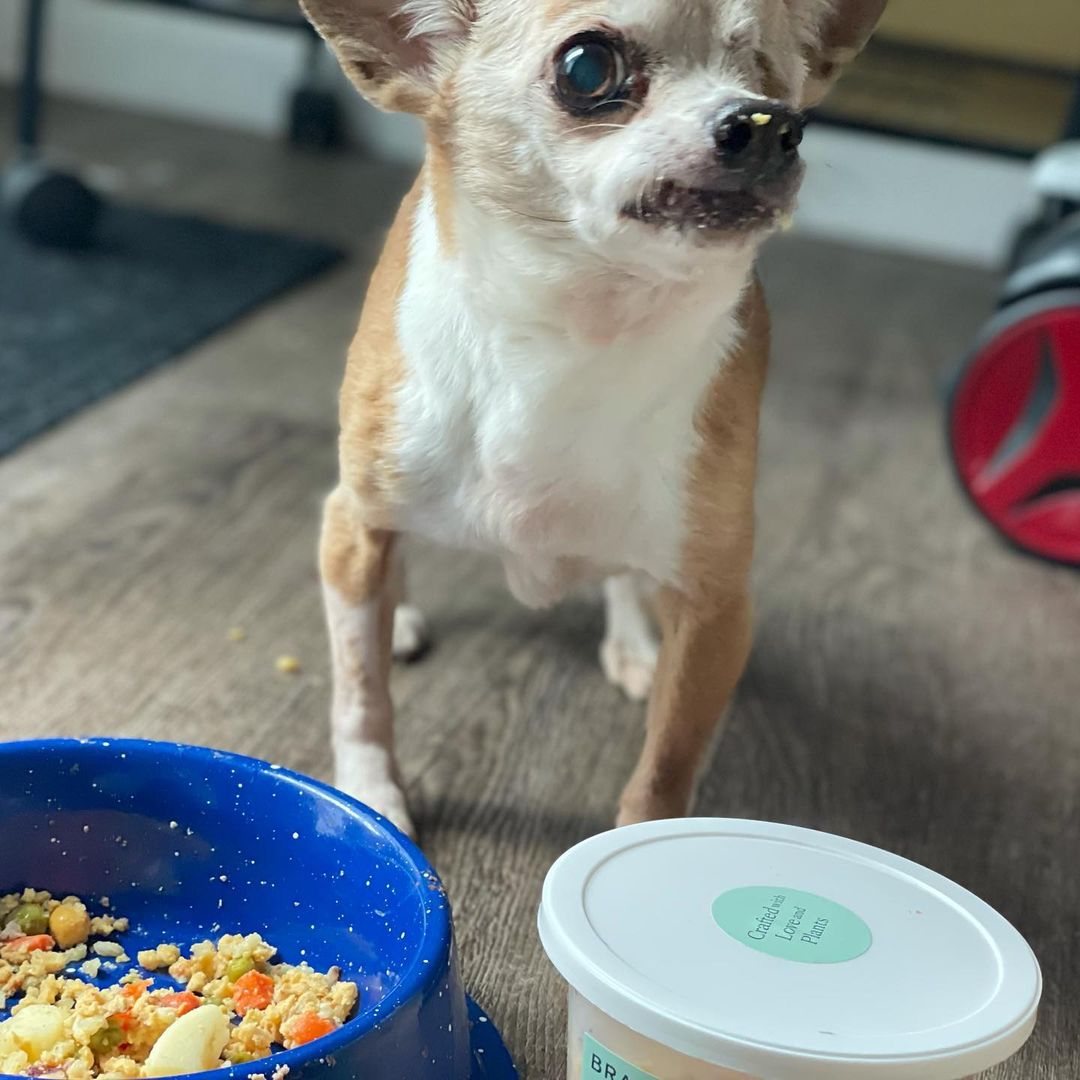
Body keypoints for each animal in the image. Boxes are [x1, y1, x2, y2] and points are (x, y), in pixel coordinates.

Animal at [300, 0, 881, 833]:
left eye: (772, 79)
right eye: (586, 68)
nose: (769, 122)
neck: (574, 337)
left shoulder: (716, 610)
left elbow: (669, 757)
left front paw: (649, 841)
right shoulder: (354, 522)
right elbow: (359, 694)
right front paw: (368, 795)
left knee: (624, 575)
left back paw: (633, 641)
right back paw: (401, 615)